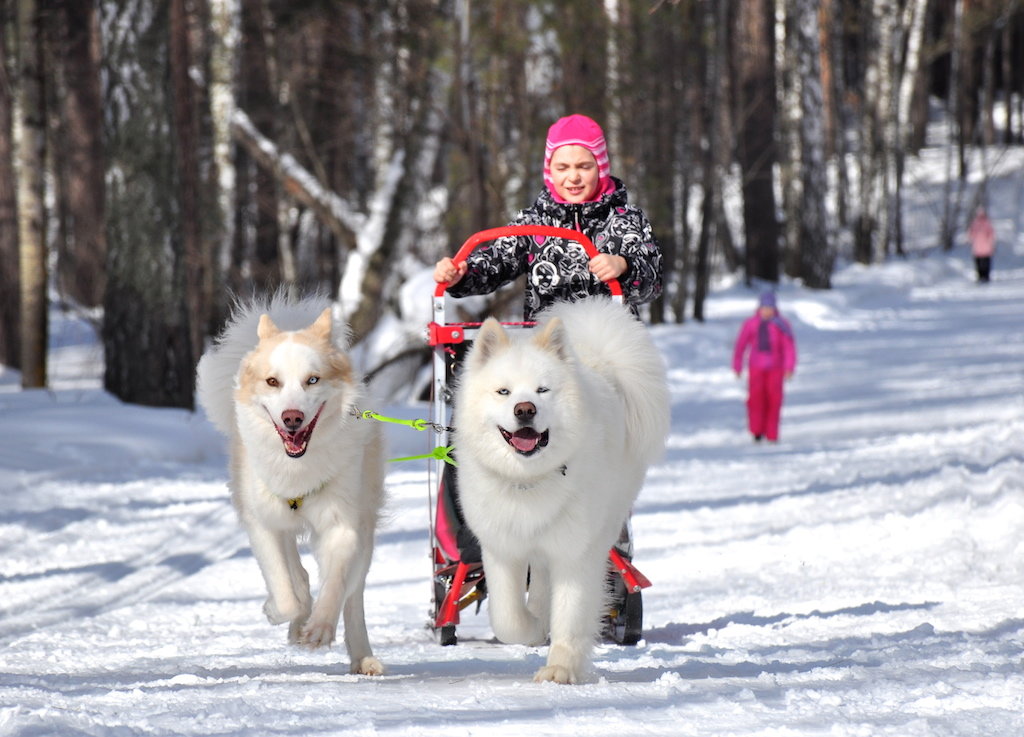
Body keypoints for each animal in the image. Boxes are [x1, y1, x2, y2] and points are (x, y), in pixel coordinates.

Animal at [195, 292, 385, 675]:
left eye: (312, 380)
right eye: (273, 382)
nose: (292, 418)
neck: (297, 469)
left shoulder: (343, 526)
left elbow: (336, 585)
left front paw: (318, 628)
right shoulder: (263, 524)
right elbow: (286, 593)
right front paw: (283, 614)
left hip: (365, 529)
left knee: (352, 597)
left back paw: (362, 657)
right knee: (298, 575)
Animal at [452, 298, 667, 683]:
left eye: (542, 390)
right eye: (504, 391)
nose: (525, 410)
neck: (529, 480)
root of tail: (598, 359)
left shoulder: (575, 552)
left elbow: (571, 615)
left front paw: (561, 670)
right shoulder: (502, 548)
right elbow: (507, 617)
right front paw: (533, 629)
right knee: (537, 584)